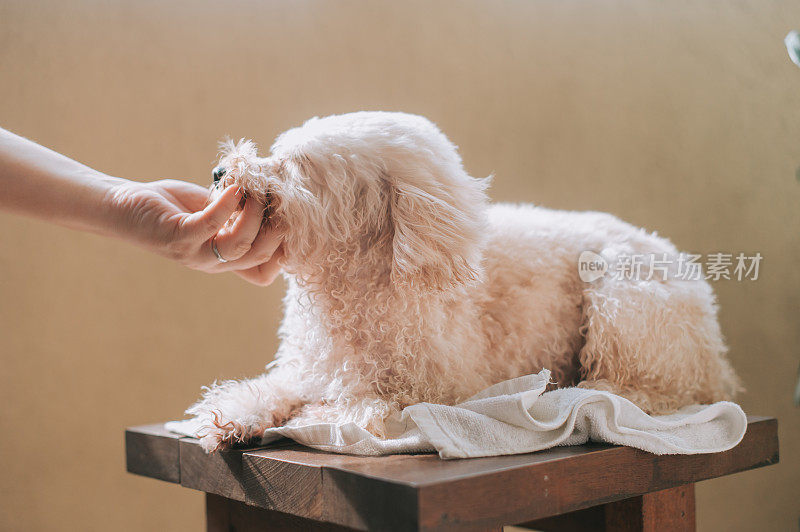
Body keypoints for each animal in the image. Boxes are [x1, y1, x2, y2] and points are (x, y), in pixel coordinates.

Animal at [186, 112, 736, 454]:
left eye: (298, 166)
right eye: (277, 151)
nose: (218, 171)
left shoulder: (427, 388)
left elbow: (354, 406)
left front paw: (303, 419)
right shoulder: (310, 365)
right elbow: (271, 389)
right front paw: (231, 418)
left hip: (623, 295)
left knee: (661, 390)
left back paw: (601, 387)